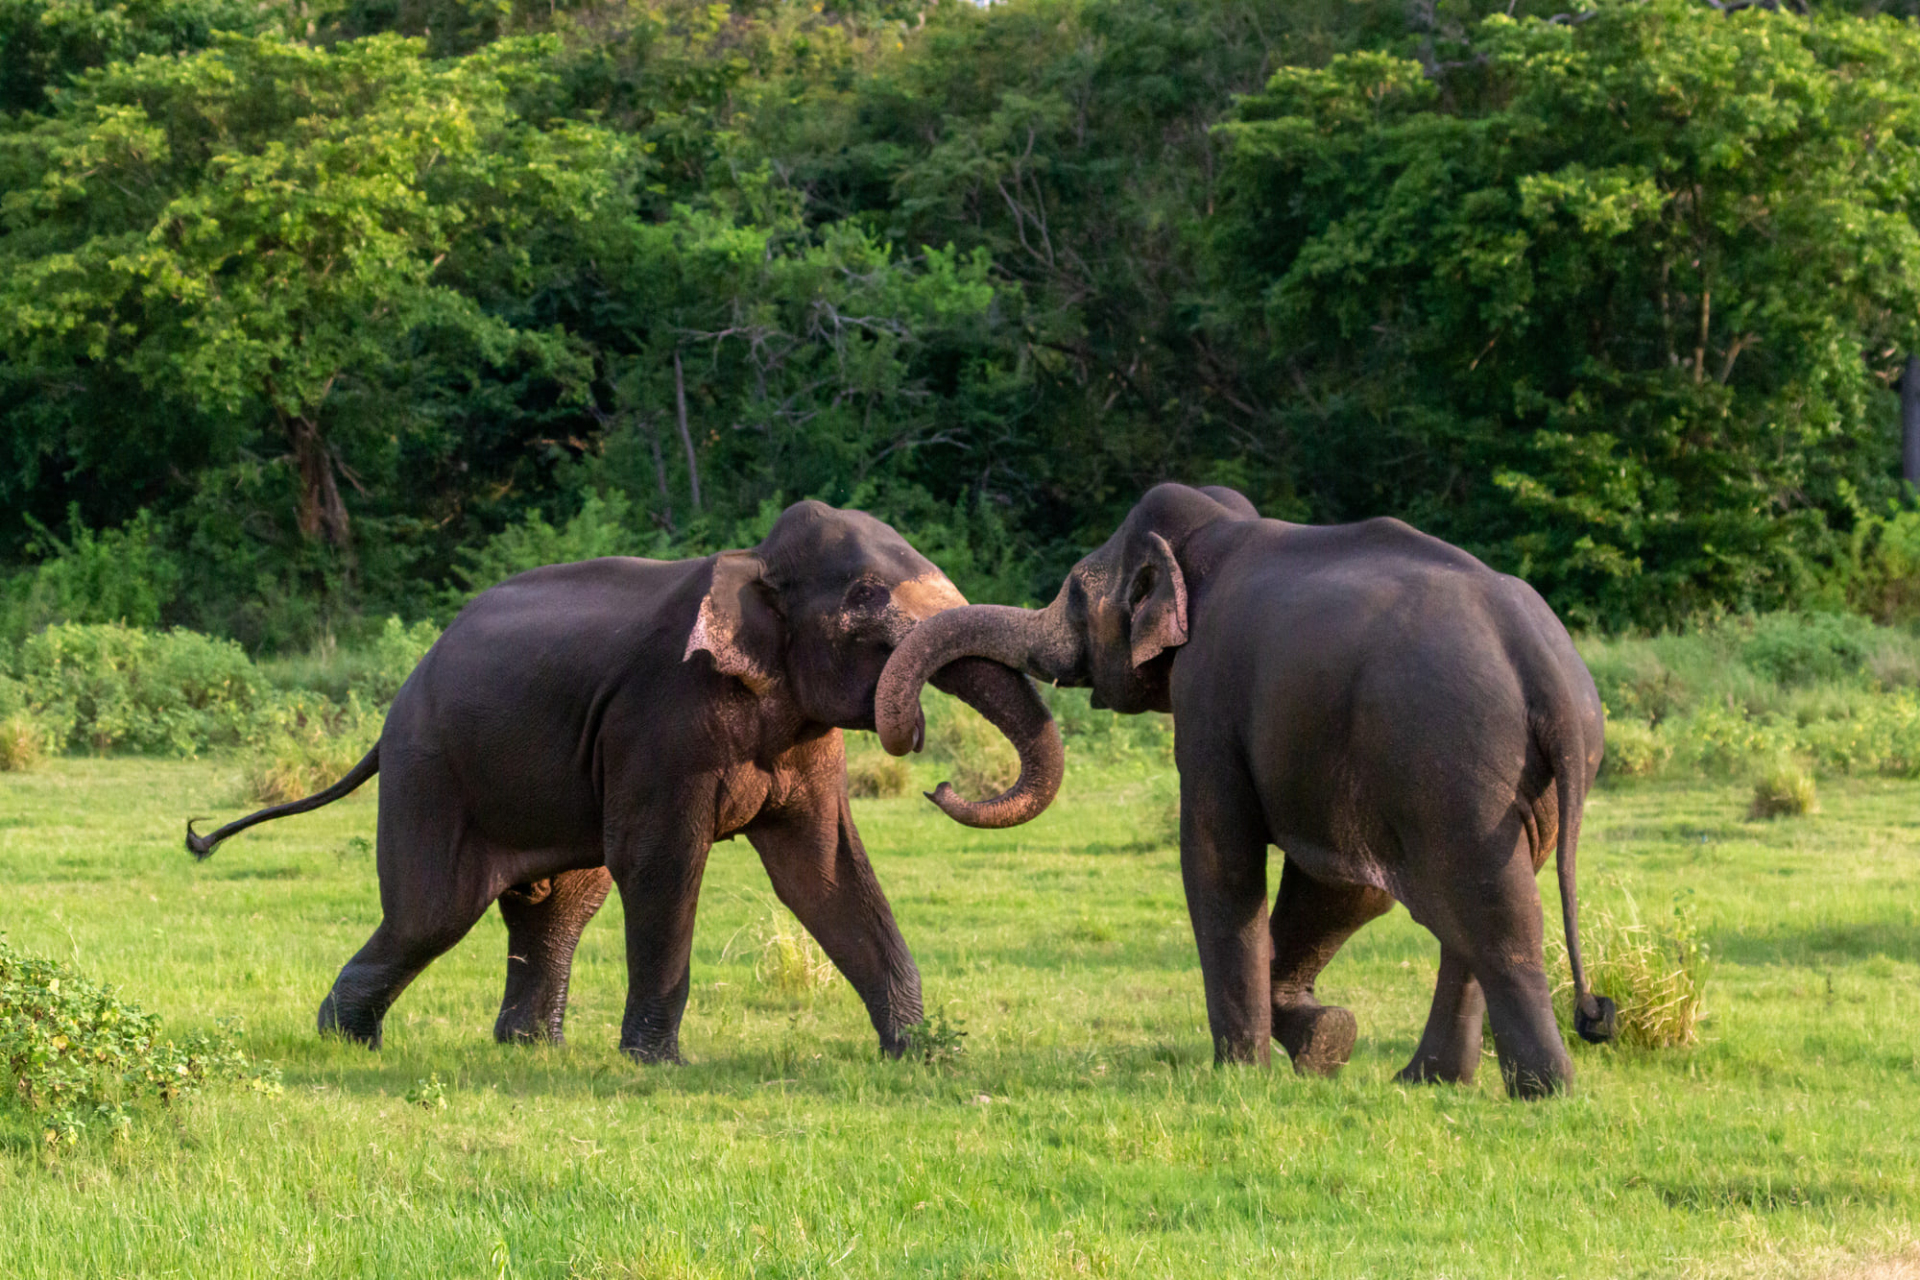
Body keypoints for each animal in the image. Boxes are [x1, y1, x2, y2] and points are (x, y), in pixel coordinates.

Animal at [185, 501, 1063, 1062]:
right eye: (868, 606)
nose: (935, 783)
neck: (753, 564)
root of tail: (396, 702)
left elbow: (822, 873)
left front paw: (925, 1055)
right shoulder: (662, 722)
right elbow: (662, 864)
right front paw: (656, 1065)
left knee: (557, 906)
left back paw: (527, 1052)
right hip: (428, 771)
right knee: (430, 915)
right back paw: (346, 1040)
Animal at [873, 483, 1616, 1097]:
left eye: (1077, 596)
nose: (934, 781)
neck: (1218, 532)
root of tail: (1544, 667)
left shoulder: (1208, 693)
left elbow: (1219, 858)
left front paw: (1242, 1071)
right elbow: (1346, 887)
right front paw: (1325, 1040)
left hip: (1451, 760)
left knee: (1493, 914)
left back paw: (1543, 1091)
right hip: (1513, 783)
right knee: (1472, 917)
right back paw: (1428, 1082)